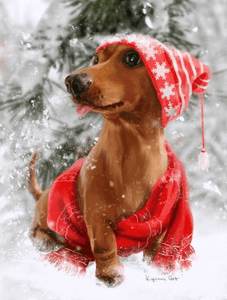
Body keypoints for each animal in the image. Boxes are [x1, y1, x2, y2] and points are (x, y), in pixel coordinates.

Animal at [27, 43, 168, 284]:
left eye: (132, 58)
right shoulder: (96, 215)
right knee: (35, 231)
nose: (72, 82)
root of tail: (42, 193)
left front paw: (155, 268)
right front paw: (110, 276)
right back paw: (45, 240)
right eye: (95, 59)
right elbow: (104, 246)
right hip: (45, 215)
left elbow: (154, 247)